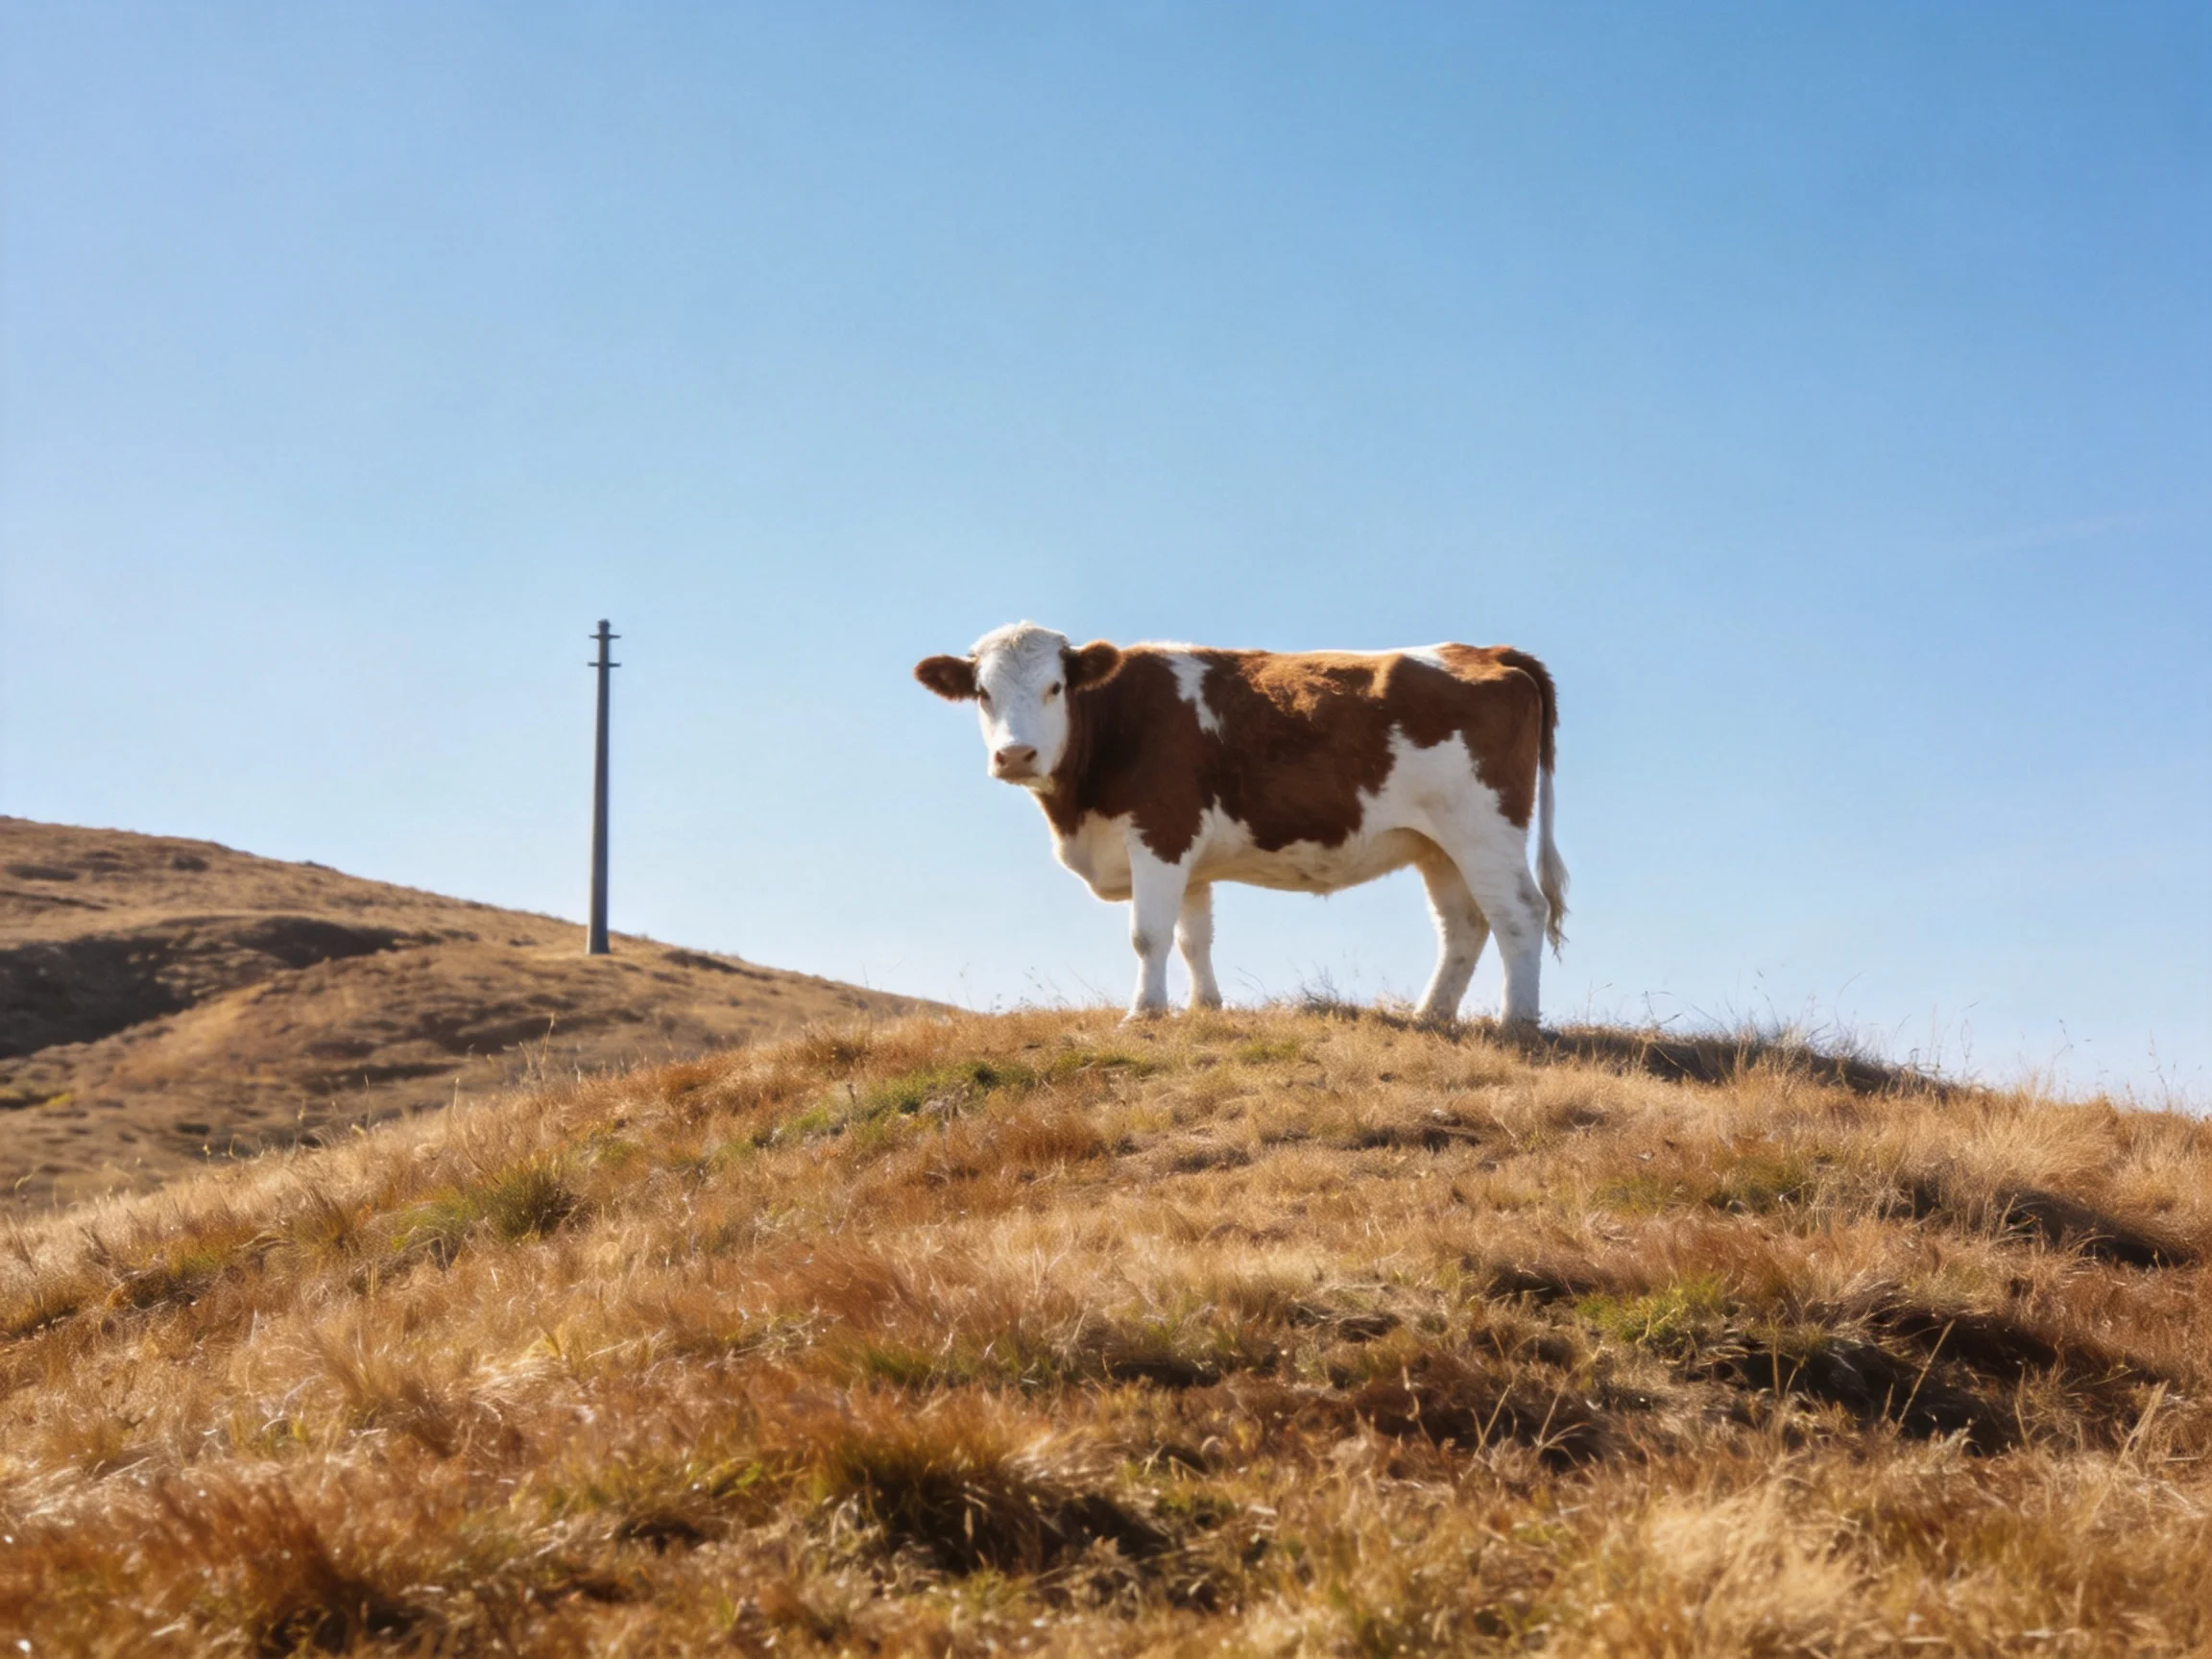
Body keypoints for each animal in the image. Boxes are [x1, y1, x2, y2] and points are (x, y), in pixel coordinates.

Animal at [915, 623, 1568, 1027]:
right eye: (982, 693)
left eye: (1054, 687)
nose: (1016, 755)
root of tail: (1487, 651)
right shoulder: (1188, 859)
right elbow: (1192, 938)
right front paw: (1205, 1009)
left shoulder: (1160, 831)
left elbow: (1148, 934)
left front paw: (1144, 1013)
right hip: (1438, 845)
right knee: (1463, 926)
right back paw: (1430, 1016)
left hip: (1484, 829)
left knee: (1518, 913)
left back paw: (1517, 1023)